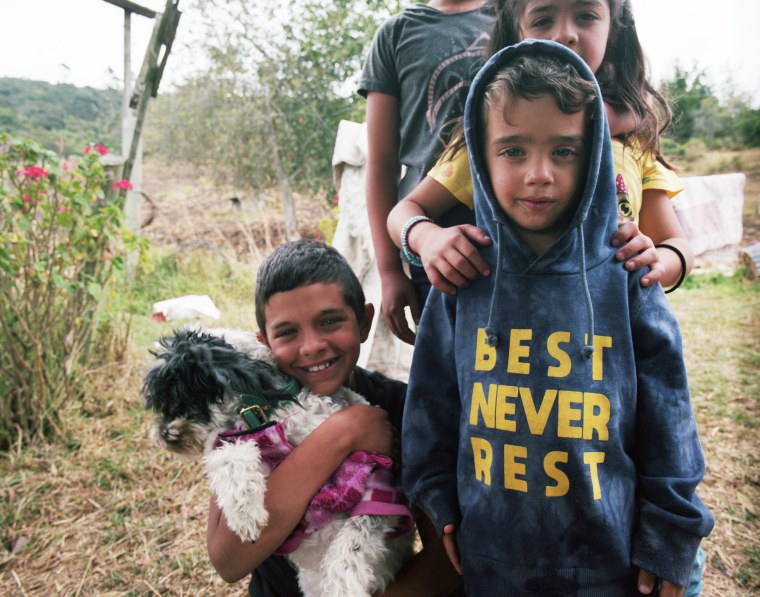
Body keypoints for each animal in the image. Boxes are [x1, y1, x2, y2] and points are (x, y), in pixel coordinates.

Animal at [142, 328, 416, 592]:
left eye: (179, 394)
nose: (163, 434)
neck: (262, 414)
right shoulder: (244, 447)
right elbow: (228, 458)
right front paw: (244, 514)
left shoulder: (377, 477)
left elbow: (355, 537)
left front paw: (343, 585)